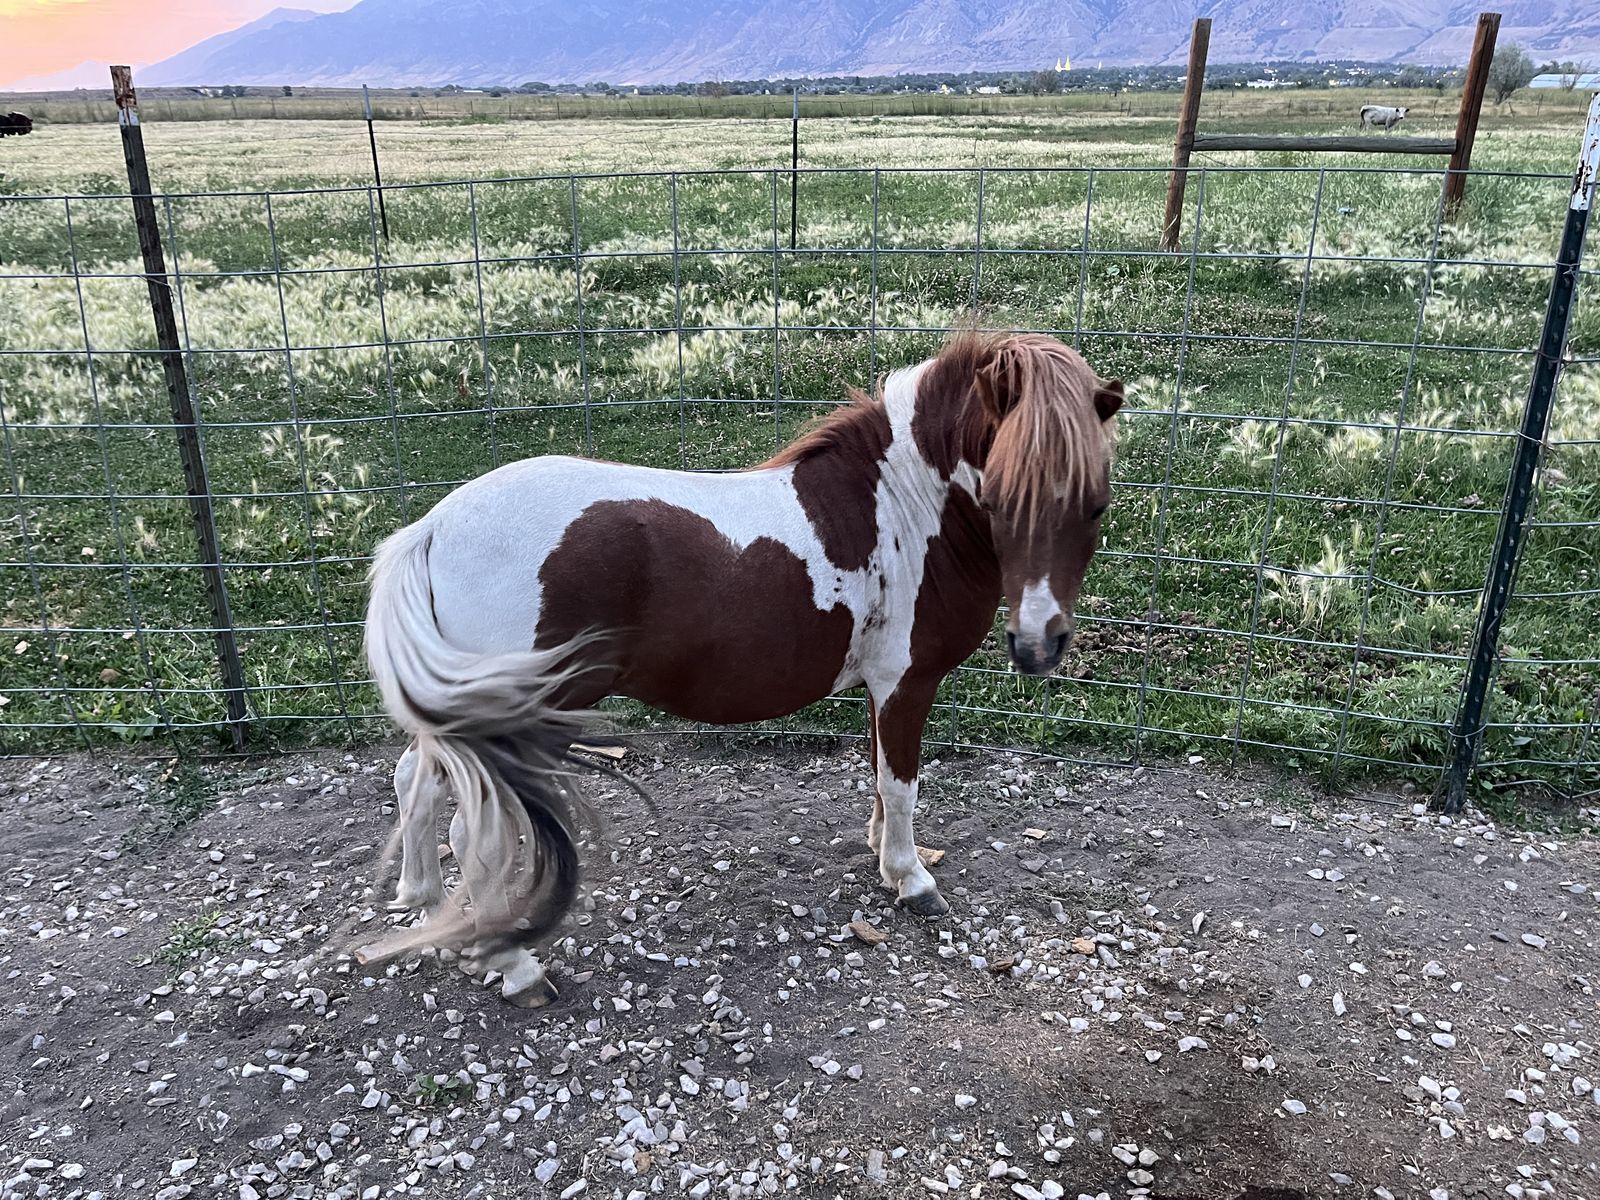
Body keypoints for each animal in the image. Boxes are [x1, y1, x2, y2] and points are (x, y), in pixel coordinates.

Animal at [359, 330, 1123, 1005]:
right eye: (998, 498)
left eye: (1095, 504)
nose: (1038, 645)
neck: (902, 509)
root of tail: (433, 529)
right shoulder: (907, 684)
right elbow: (901, 785)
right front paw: (910, 880)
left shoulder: (882, 689)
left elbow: (879, 776)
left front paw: (882, 854)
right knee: (470, 833)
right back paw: (518, 970)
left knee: (414, 783)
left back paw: (428, 907)